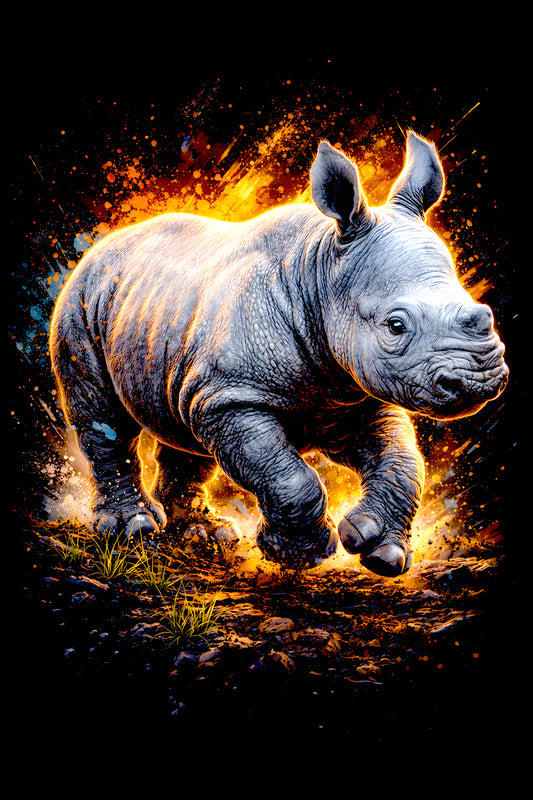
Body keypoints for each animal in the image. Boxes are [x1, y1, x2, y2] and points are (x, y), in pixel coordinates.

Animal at [49, 131, 508, 577]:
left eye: (483, 313)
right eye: (396, 326)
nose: (479, 379)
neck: (321, 275)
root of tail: (106, 242)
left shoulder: (352, 394)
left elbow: (403, 461)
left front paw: (378, 549)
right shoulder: (233, 396)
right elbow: (289, 478)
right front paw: (300, 554)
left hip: (161, 317)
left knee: (184, 428)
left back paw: (205, 535)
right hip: (81, 300)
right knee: (104, 416)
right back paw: (134, 530)